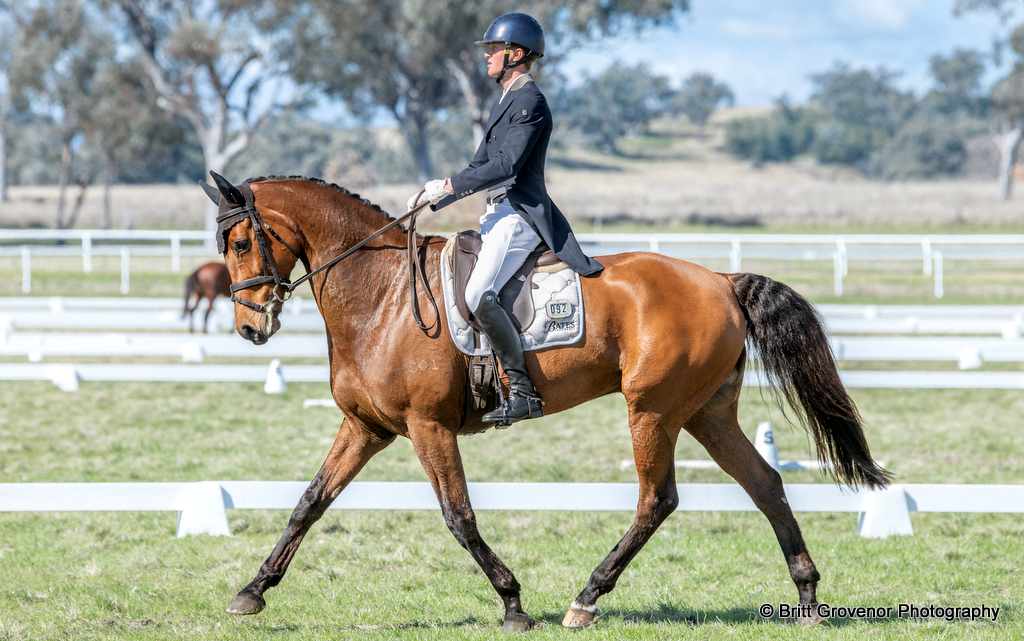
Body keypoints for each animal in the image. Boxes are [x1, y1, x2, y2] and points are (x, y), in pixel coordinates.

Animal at [201, 172, 891, 631]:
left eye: (240, 243)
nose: (250, 329)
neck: (382, 294)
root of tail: (720, 280)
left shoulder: (427, 427)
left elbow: (459, 517)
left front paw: (512, 603)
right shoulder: (366, 426)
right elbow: (309, 503)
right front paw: (252, 591)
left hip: (654, 411)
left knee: (658, 499)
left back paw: (586, 598)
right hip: (705, 413)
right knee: (765, 484)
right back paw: (807, 600)